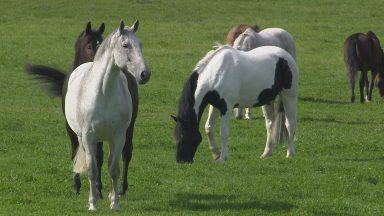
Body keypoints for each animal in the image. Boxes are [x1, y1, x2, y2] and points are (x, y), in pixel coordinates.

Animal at [65, 19, 151, 209]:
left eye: (140, 44)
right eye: (125, 45)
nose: (145, 74)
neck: (104, 93)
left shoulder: (118, 136)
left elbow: (114, 169)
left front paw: (115, 203)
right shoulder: (89, 138)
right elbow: (92, 169)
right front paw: (92, 204)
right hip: (82, 138)